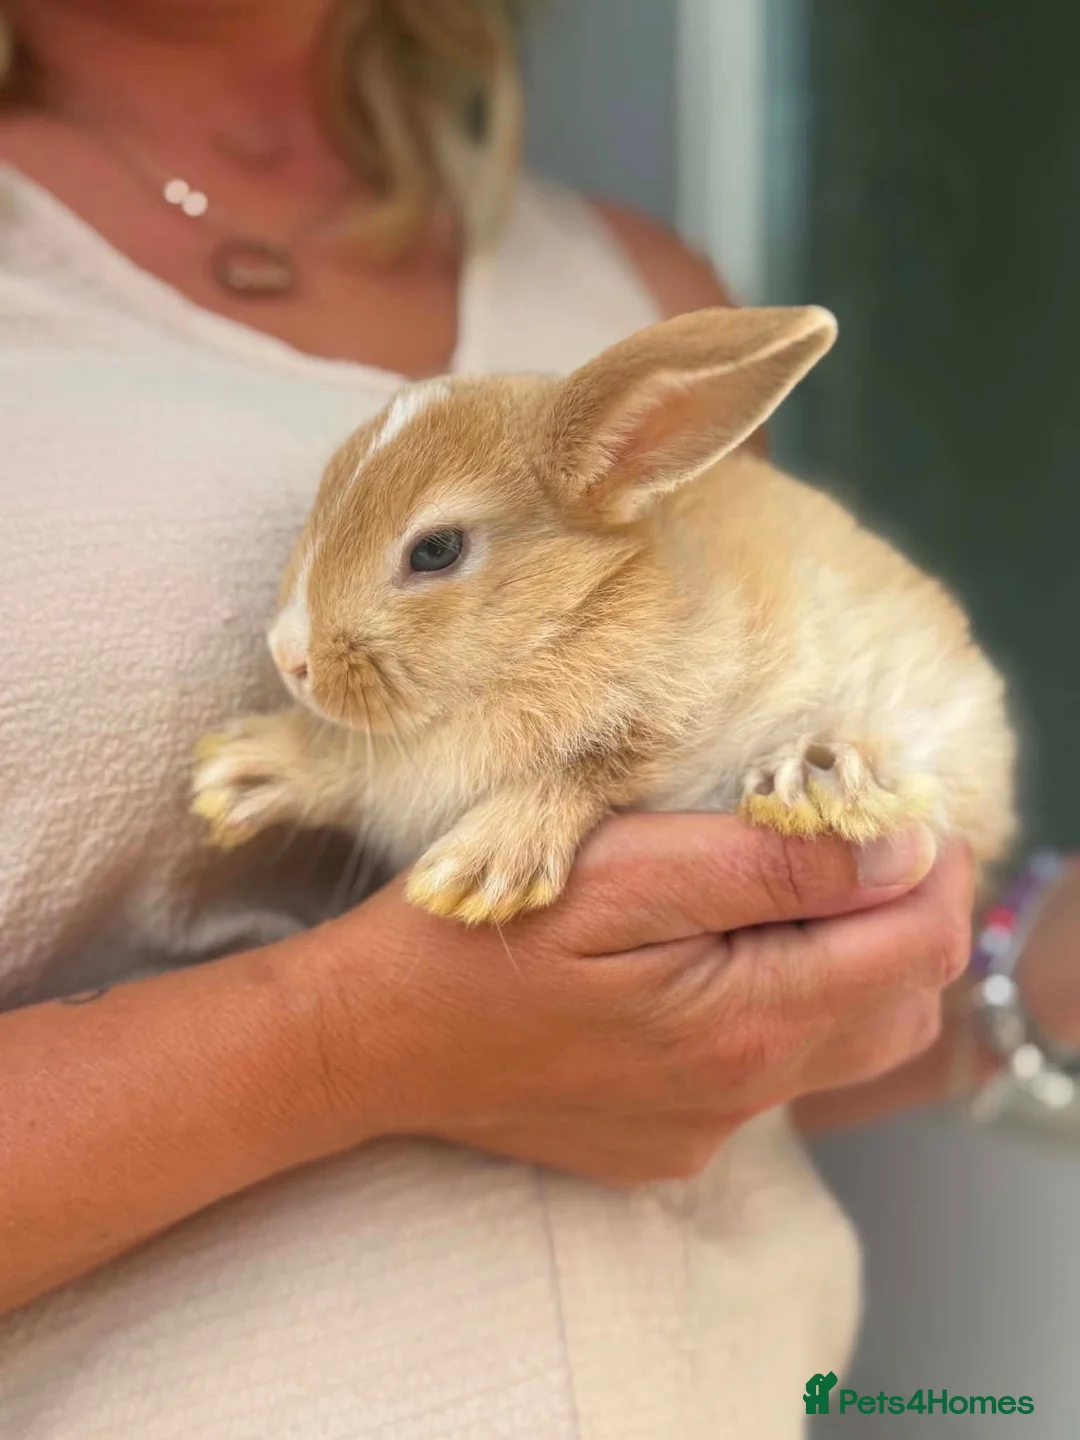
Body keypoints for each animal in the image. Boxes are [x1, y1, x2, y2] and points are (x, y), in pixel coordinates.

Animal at [192, 305, 1017, 926]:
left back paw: (816, 778)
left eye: (435, 550)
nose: (289, 658)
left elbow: (588, 776)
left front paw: (479, 870)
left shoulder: (674, 716)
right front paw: (237, 775)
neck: (561, 620)